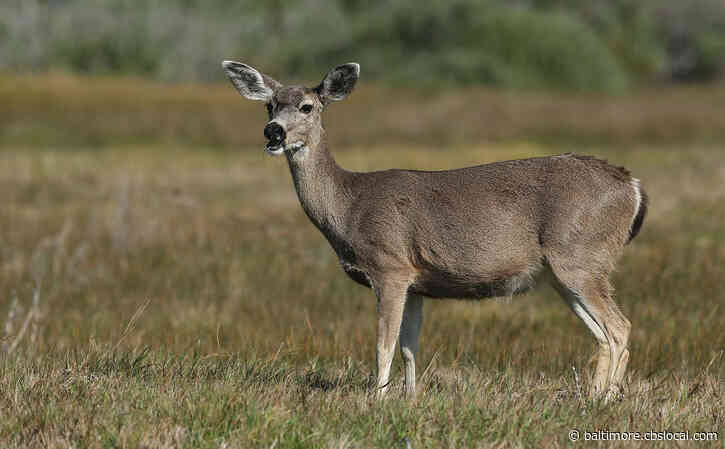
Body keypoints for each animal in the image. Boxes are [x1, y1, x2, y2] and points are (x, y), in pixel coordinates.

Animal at [221, 61, 648, 401]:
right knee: (603, 333)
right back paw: (598, 396)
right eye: (269, 104)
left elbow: (384, 343)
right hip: (564, 272)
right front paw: (409, 397)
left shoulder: (389, 266)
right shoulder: (416, 282)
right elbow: (409, 345)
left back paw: (603, 399)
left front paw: (377, 398)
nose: (273, 132)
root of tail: (632, 186)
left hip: (580, 255)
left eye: (307, 106)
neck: (348, 206)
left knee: (620, 327)